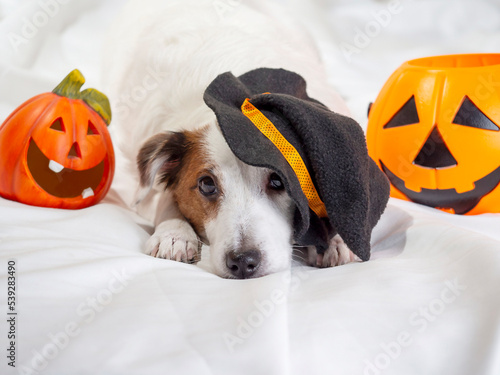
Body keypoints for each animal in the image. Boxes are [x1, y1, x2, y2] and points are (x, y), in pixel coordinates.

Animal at [105, 0, 362, 278]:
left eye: (279, 181)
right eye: (207, 185)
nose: (243, 262)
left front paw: (336, 238)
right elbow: (165, 198)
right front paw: (174, 233)